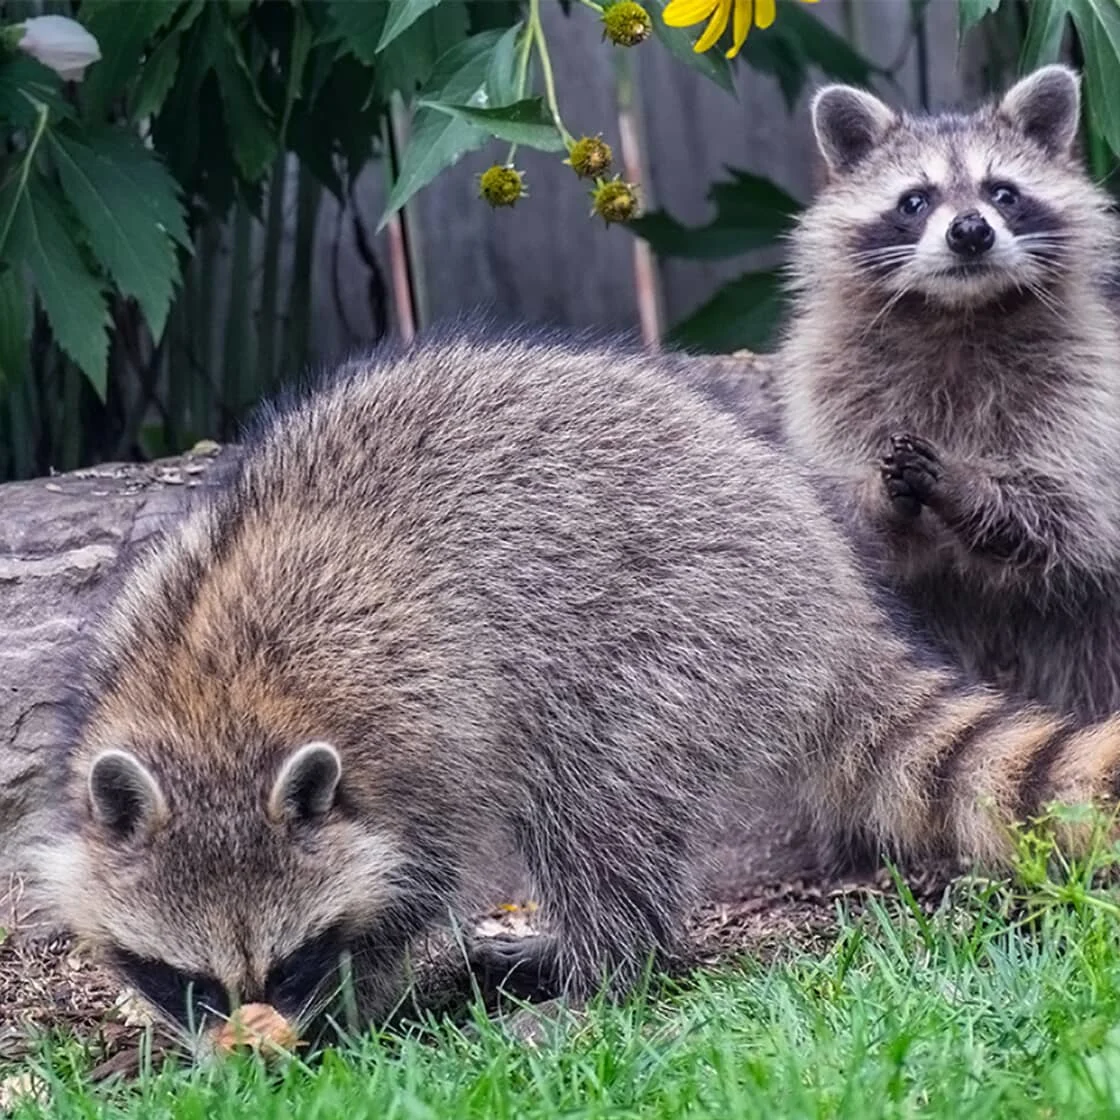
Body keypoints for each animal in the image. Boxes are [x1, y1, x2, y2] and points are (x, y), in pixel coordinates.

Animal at [41, 324, 1120, 1048]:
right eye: (189, 980)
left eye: (290, 957)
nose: (252, 1053)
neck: (218, 708)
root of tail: (829, 599)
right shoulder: (136, 627)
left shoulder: (422, 724)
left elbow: (414, 880)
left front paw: (351, 998)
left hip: (674, 639)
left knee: (596, 809)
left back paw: (602, 974)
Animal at [775, 63, 1120, 725]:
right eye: (915, 200)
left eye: (1003, 193)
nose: (970, 231)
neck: (956, 313)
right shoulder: (830, 382)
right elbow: (851, 521)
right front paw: (881, 497)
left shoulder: (1086, 385)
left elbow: (1067, 510)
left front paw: (970, 487)